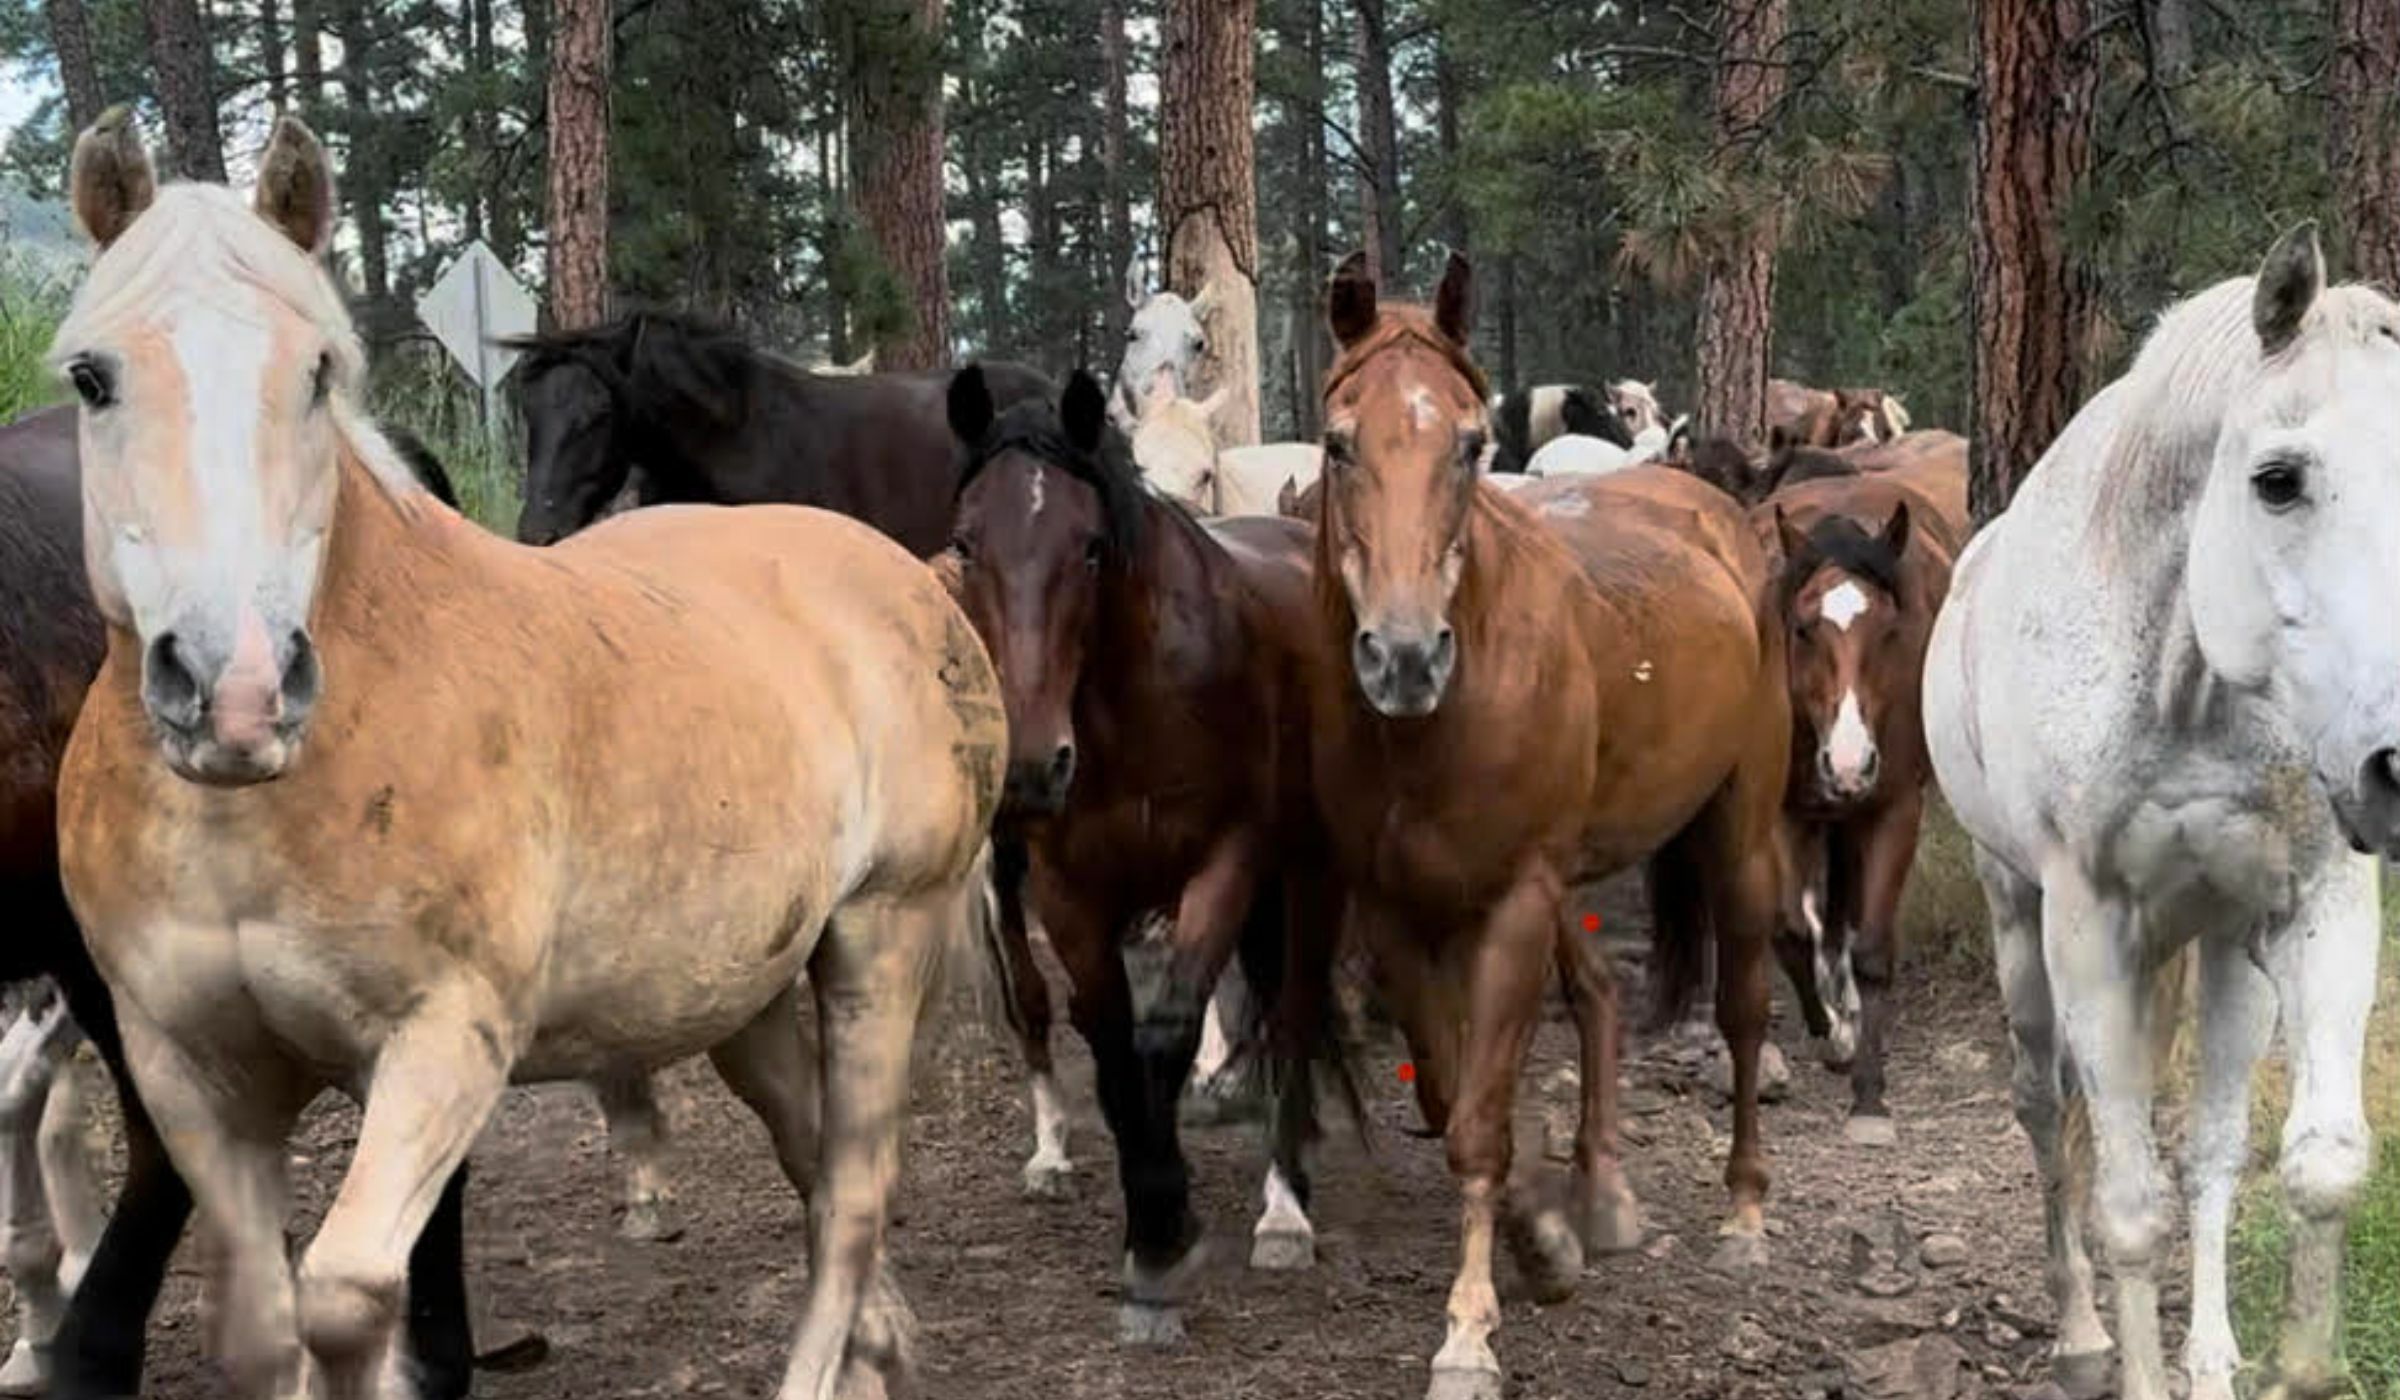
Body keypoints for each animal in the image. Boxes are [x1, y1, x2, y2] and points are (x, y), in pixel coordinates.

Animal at [944, 364, 1346, 1343]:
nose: (1030, 764)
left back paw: (1285, 1206)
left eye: (1090, 547)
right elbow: (1109, 1039)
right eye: (966, 544)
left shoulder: (1229, 861)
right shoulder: (1067, 892)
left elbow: (1167, 1028)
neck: (1135, 705)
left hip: (1310, 876)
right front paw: (1151, 1230)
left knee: (1293, 1007)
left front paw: (1170, 1221)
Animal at [1306, 250, 1789, 1400]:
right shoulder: (1395, 909)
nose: (1403, 657)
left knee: (1745, 1007)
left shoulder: (1516, 900)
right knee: (1606, 990)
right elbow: (1450, 1095)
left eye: (1471, 444)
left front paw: (1470, 1329)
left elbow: (1481, 1119)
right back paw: (1602, 1194)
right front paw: (1548, 1236)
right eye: (1339, 443)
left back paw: (1745, 1211)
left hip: (1740, 826)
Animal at [1754, 441, 1965, 1144]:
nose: (1848, 762)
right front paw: (1830, 1036)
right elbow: (1791, 930)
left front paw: (1870, 1097)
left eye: (1891, 631)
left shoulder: (1894, 808)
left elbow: (1872, 948)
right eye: (1801, 629)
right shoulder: (1786, 810)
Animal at [1925, 225, 2392, 1400]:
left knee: (2213, 1146)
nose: (2395, 764)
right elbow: (2129, 1205)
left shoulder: (2319, 903)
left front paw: (2274, 1363)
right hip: (2018, 921)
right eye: (2277, 479)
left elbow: (2314, 1165)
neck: (2186, 683)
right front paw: (2122, 1356)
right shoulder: (2087, 924)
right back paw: (2081, 1332)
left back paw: (2213, 1355)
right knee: (2047, 1109)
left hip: (2224, 949)